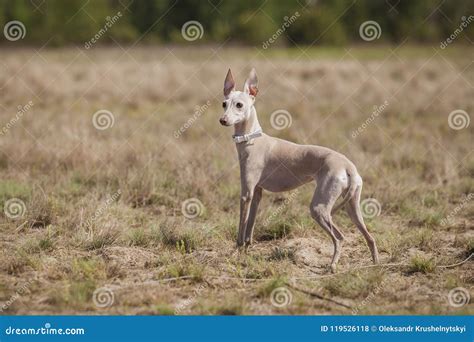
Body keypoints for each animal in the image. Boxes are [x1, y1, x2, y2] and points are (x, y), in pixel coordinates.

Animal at [220, 68, 380, 272]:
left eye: (239, 105)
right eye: (224, 103)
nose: (222, 120)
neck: (252, 139)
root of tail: (348, 166)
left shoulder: (245, 194)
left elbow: (241, 231)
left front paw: (235, 253)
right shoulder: (256, 194)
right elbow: (249, 230)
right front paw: (246, 253)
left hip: (319, 208)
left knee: (339, 237)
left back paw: (332, 265)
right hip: (352, 207)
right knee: (370, 237)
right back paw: (375, 265)